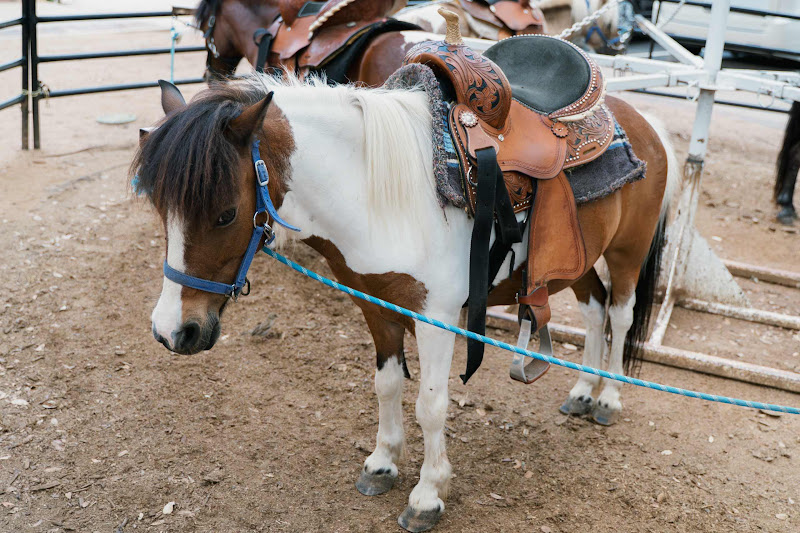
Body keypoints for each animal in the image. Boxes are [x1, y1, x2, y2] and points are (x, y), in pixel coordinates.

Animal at [133, 72, 675, 531]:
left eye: (226, 214)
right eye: (159, 206)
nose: (173, 331)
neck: (382, 196)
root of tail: (642, 119)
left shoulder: (436, 318)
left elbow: (430, 405)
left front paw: (427, 495)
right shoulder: (376, 305)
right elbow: (387, 385)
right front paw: (382, 463)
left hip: (626, 252)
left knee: (620, 314)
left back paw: (608, 397)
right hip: (575, 262)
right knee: (594, 310)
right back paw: (582, 391)